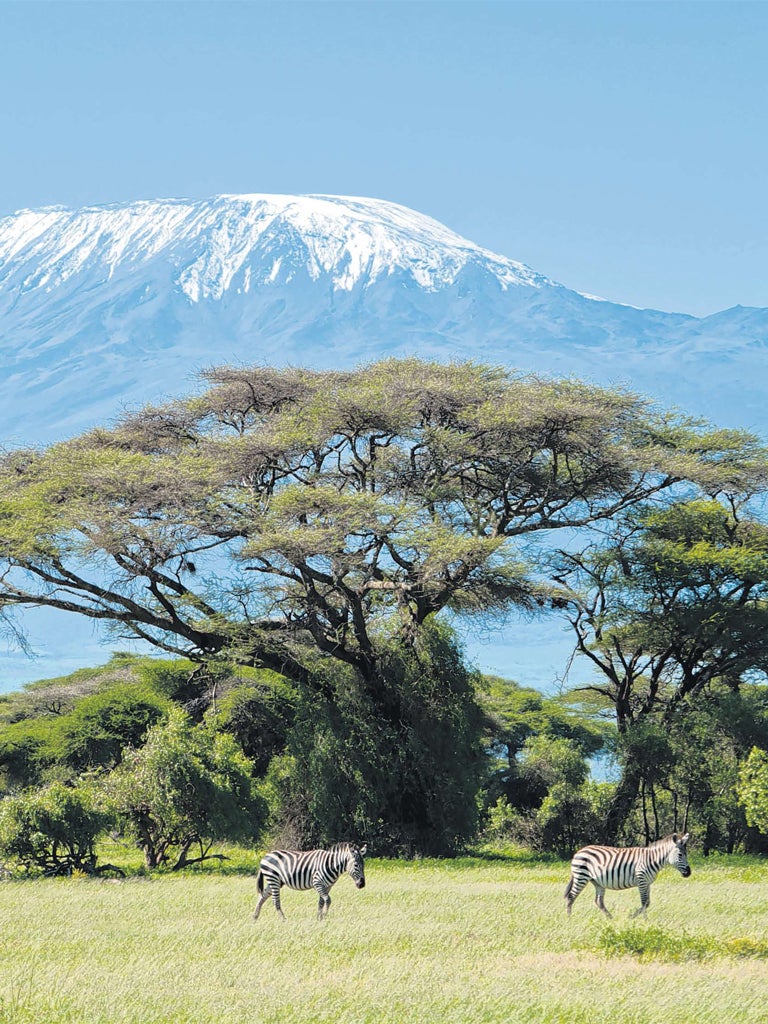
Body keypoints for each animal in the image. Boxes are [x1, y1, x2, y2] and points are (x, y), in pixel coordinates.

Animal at [561, 831, 696, 921]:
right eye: (680, 855)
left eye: (686, 854)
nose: (689, 873)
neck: (652, 859)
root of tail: (579, 851)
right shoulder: (641, 880)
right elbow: (644, 902)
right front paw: (641, 920)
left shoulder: (647, 883)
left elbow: (647, 902)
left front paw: (639, 919)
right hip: (581, 876)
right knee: (571, 897)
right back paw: (569, 919)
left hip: (597, 881)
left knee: (599, 901)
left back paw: (611, 918)